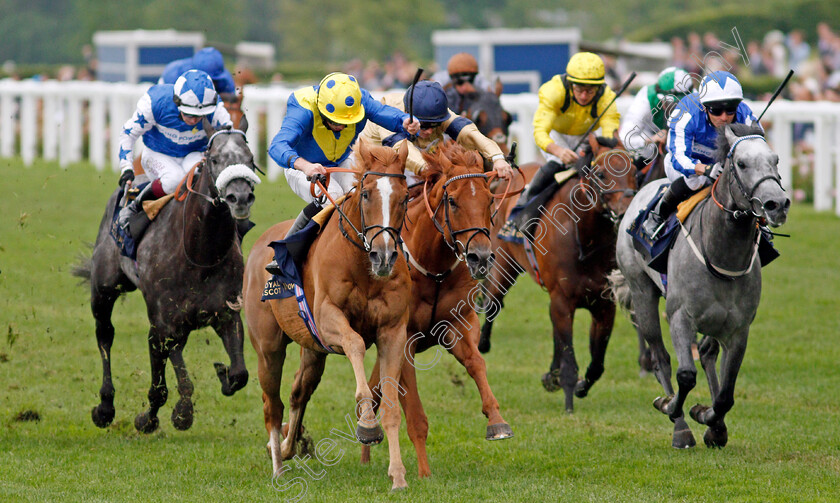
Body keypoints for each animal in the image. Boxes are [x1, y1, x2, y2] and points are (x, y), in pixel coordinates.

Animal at [241, 140, 412, 490]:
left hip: (312, 349)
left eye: (404, 196)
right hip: (268, 348)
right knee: (272, 405)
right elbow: (356, 343)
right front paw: (367, 424)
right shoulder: (327, 318)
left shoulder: (393, 331)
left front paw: (398, 475)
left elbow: (391, 406)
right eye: (366, 194)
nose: (384, 256)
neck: (363, 267)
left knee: (298, 393)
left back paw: (285, 447)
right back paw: (278, 467)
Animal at [358, 141, 516, 476]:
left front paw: (497, 421)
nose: (481, 257)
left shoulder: (458, 326)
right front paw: (423, 472)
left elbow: (477, 364)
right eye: (452, 201)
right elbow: (414, 413)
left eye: (489, 199)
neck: (433, 268)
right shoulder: (403, 338)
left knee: (376, 387)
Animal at [480, 136, 636, 412]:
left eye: (635, 172)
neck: (586, 240)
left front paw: (580, 386)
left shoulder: (604, 304)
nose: (625, 210)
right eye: (601, 174)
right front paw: (569, 401)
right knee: (493, 301)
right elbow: (569, 357)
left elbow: (597, 362)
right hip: (504, 263)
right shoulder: (563, 300)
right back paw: (483, 343)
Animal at [612, 124, 788, 450]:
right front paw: (674, 411)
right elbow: (685, 375)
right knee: (660, 358)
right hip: (641, 290)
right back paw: (678, 423)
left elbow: (726, 395)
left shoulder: (738, 329)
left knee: (706, 352)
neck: (720, 253)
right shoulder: (680, 317)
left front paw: (711, 421)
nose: (778, 204)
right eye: (741, 163)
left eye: (776, 160)